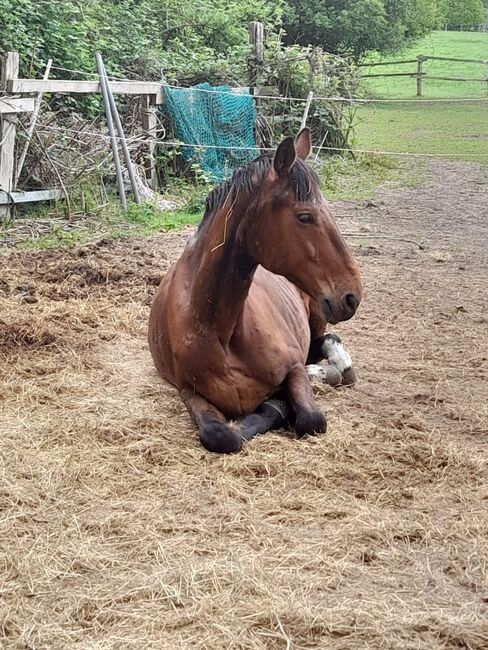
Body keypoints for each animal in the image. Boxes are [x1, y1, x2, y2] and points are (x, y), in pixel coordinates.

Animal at [149, 126, 362, 450]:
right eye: (305, 216)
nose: (352, 295)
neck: (218, 330)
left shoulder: (292, 366)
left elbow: (311, 419)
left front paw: (283, 401)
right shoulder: (188, 392)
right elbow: (221, 435)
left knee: (325, 342)